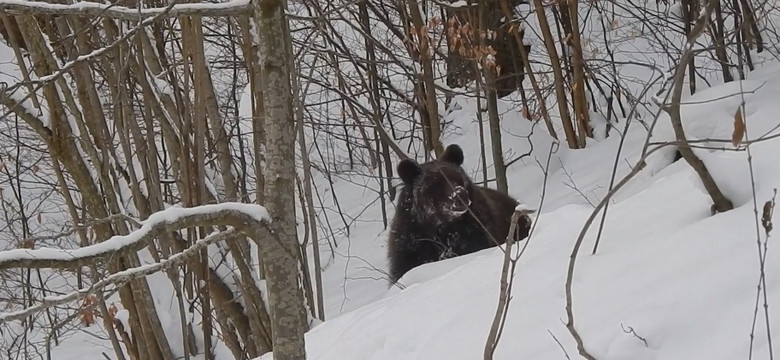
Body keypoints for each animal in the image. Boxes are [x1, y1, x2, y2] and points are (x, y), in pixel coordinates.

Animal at [386, 143, 532, 284]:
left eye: (458, 178)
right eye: (435, 183)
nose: (460, 193)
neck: (442, 227)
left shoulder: (475, 232)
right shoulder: (410, 245)